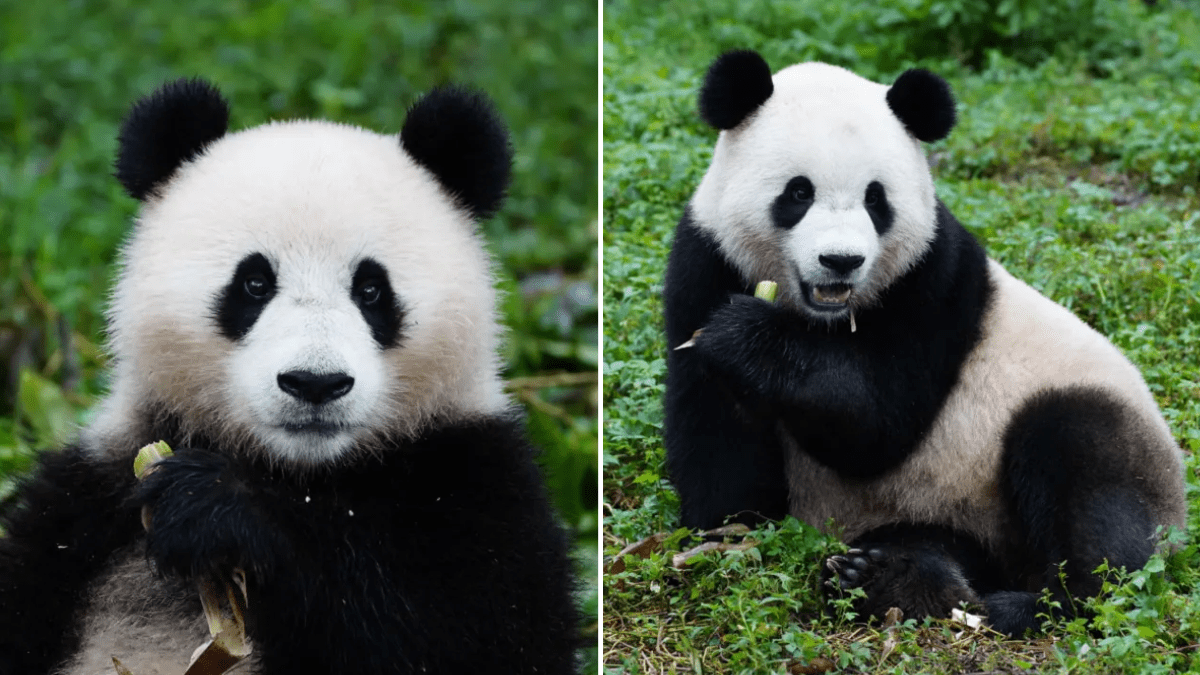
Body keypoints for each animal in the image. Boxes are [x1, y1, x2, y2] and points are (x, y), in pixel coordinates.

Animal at [0, 79, 580, 672]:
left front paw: (215, 507)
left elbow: (466, 631)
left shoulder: (475, 477)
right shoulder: (89, 498)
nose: (315, 383)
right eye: (254, 283)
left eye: (372, 290)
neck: (302, 474)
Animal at [667, 49, 1190, 634]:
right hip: (936, 511)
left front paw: (746, 337)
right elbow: (718, 435)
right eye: (798, 193)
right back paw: (889, 580)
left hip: (1092, 433)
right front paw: (726, 528)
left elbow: (879, 424)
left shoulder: (933, 278)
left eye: (876, 199)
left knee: (1088, 475)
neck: (822, 319)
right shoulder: (705, 260)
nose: (842, 261)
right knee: (933, 543)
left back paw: (1033, 604)